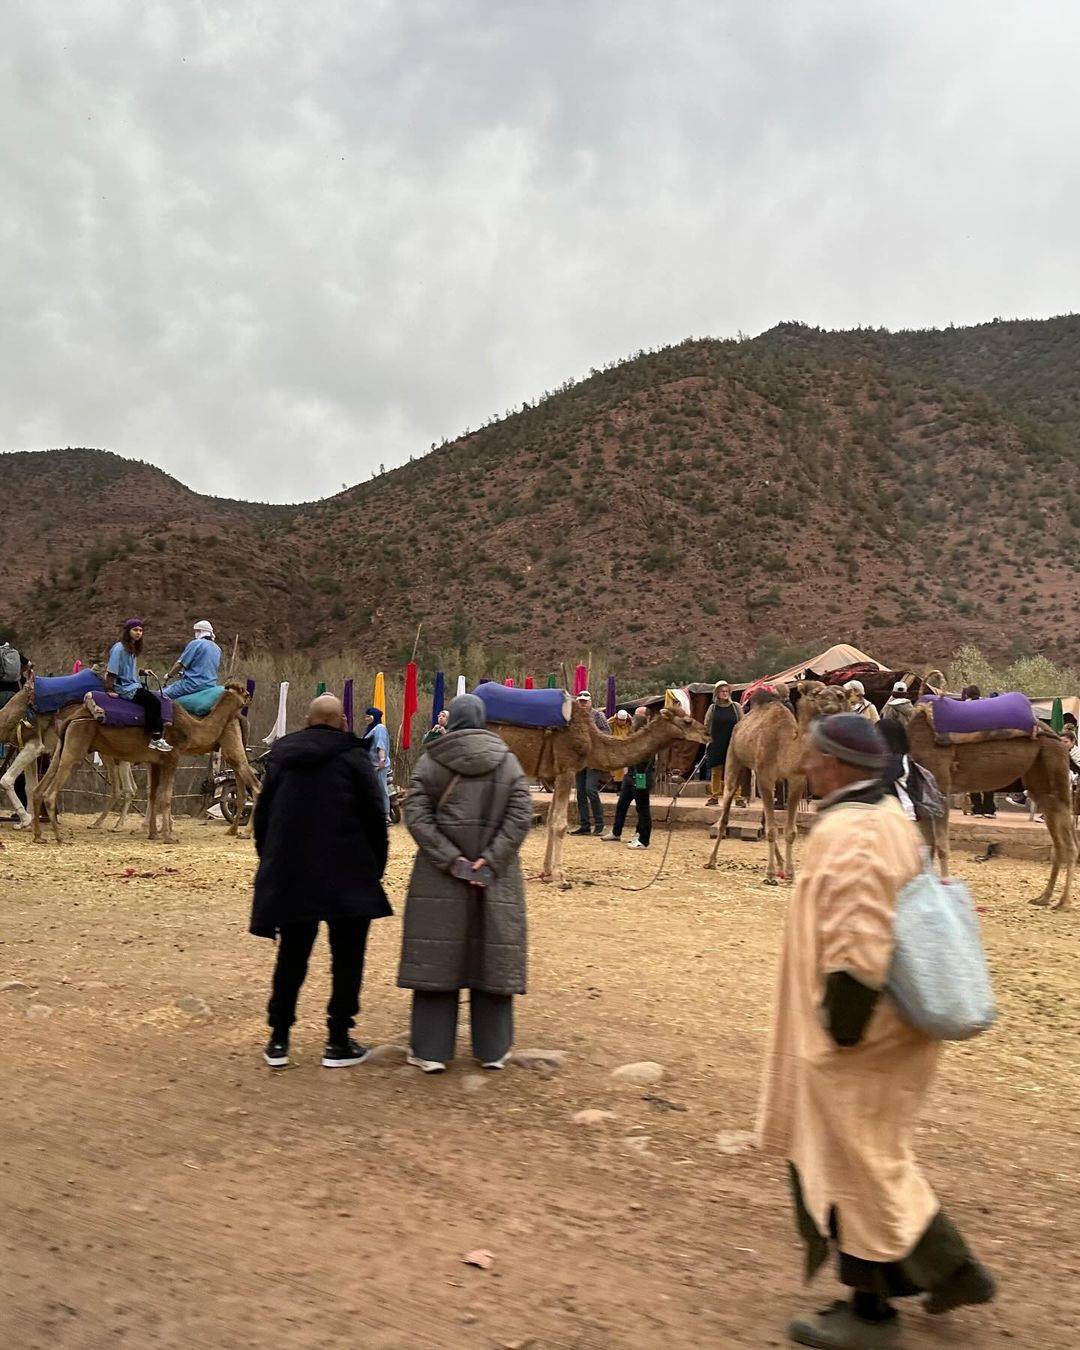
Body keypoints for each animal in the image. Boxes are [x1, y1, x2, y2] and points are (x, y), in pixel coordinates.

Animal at [32, 685, 253, 842]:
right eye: (243, 692)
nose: (249, 696)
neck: (192, 726)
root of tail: (73, 716)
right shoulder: (171, 757)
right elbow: (164, 796)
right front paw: (167, 836)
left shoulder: (155, 761)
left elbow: (153, 795)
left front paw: (153, 833)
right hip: (76, 745)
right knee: (49, 792)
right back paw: (58, 836)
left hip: (64, 747)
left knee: (38, 789)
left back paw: (40, 836)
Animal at [488, 707, 707, 885]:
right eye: (687, 721)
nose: (707, 733)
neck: (593, 742)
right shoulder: (567, 770)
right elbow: (560, 824)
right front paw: (560, 877)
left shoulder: (556, 774)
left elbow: (550, 820)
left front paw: (547, 872)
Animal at [702, 685, 847, 885]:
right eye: (817, 693)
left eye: (837, 693)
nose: (841, 697)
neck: (785, 748)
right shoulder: (765, 776)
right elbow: (771, 830)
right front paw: (770, 875)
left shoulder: (796, 780)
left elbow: (789, 831)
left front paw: (790, 874)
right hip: (734, 758)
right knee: (725, 813)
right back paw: (711, 861)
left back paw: (781, 863)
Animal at [907, 702, 1074, 912]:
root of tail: (1059, 738)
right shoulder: (922, 799)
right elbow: (928, 846)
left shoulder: (941, 788)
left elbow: (942, 846)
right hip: (1040, 784)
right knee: (1058, 841)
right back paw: (1044, 898)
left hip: (1055, 772)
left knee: (1070, 842)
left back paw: (1063, 902)